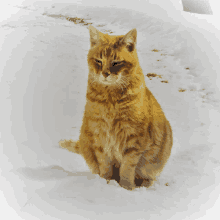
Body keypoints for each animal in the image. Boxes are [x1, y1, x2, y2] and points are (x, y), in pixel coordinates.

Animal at [59, 25, 173, 191]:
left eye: (116, 63)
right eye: (99, 61)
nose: (105, 73)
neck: (110, 100)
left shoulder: (133, 139)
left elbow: (127, 167)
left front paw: (126, 188)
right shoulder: (99, 135)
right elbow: (105, 165)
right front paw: (106, 183)